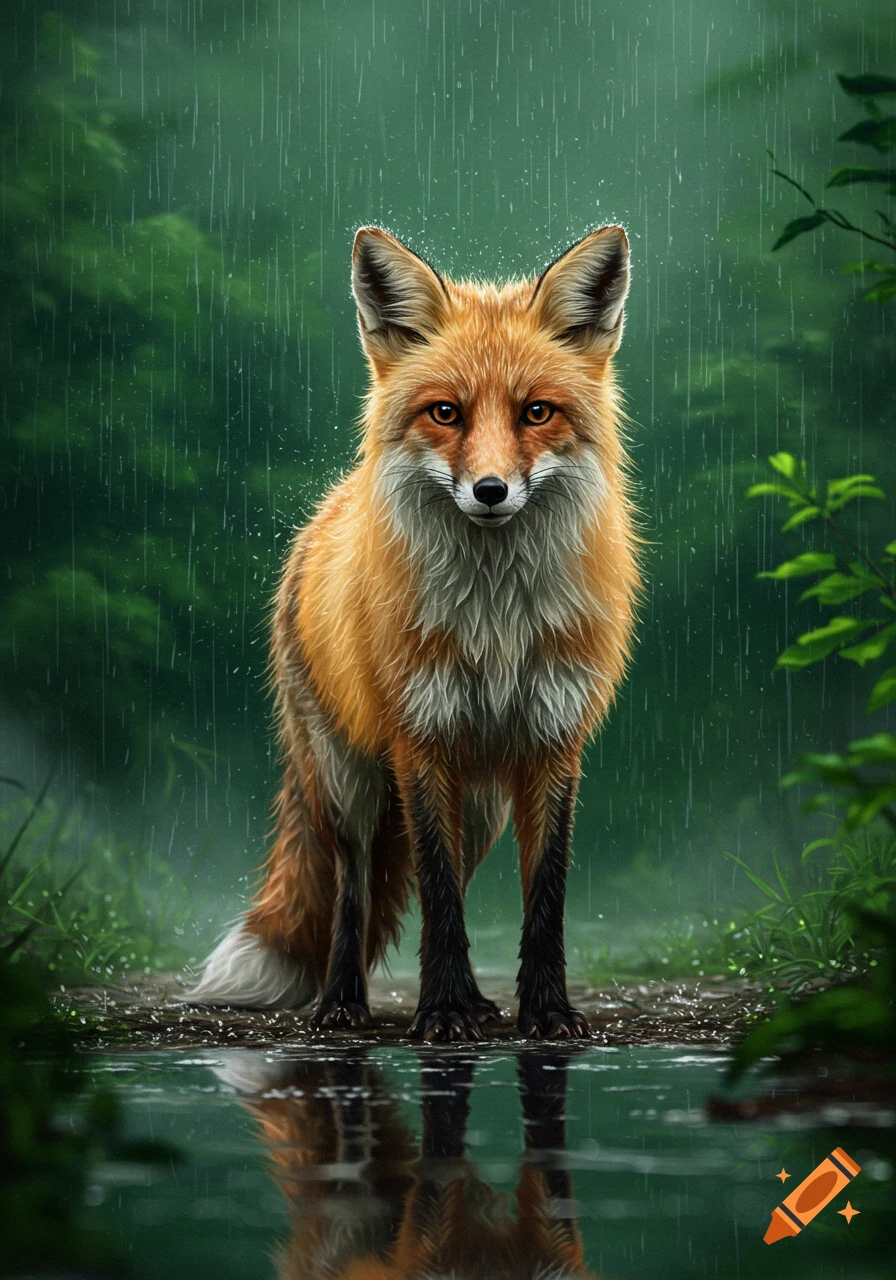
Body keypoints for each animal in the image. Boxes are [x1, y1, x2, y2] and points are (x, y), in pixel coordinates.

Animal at [184, 223, 639, 1040]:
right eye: (445, 413)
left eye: (537, 413)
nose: (490, 491)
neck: (496, 622)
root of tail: (325, 510)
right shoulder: (418, 739)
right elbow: (436, 896)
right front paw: (442, 1012)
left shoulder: (554, 742)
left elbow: (543, 897)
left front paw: (544, 1010)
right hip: (351, 784)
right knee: (356, 890)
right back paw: (341, 1003)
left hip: (481, 804)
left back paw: (483, 1002)